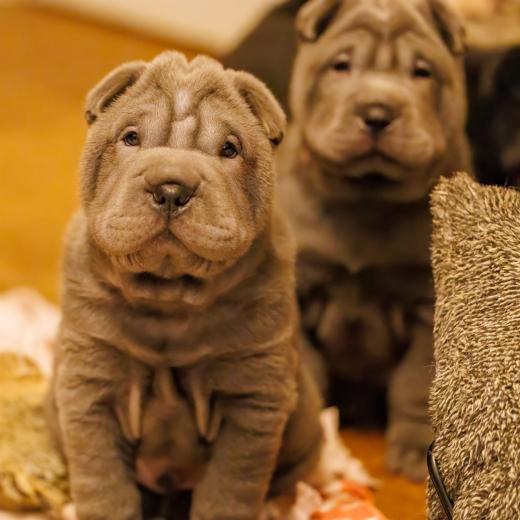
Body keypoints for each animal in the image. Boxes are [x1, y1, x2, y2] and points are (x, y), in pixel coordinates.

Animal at [48, 51, 323, 520]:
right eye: (131, 138)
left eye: (229, 148)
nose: (172, 188)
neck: (169, 295)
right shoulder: (89, 384)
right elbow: (104, 484)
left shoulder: (253, 398)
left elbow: (229, 488)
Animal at [276, 0, 473, 481]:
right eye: (341, 65)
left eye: (422, 71)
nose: (378, 112)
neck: (366, 197)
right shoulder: (298, 290)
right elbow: (309, 366)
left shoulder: (426, 306)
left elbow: (414, 385)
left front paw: (412, 451)